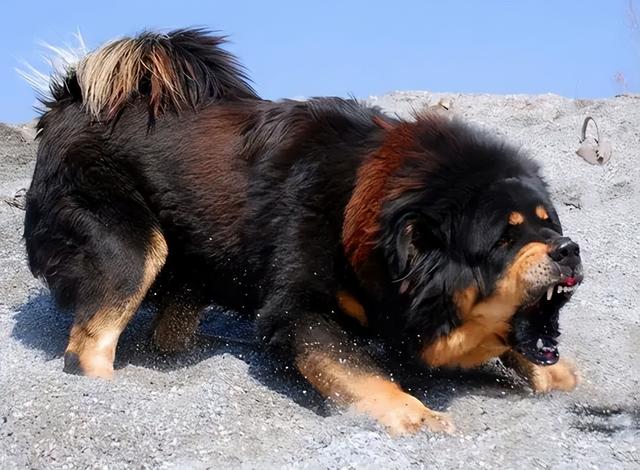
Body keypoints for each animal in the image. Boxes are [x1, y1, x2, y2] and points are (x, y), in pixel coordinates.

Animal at [25, 28, 584, 434]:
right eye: (503, 239)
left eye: (548, 224)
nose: (569, 250)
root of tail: (69, 101)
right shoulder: (300, 309)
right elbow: (360, 369)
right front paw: (416, 414)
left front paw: (561, 376)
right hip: (132, 248)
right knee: (88, 344)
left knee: (169, 330)